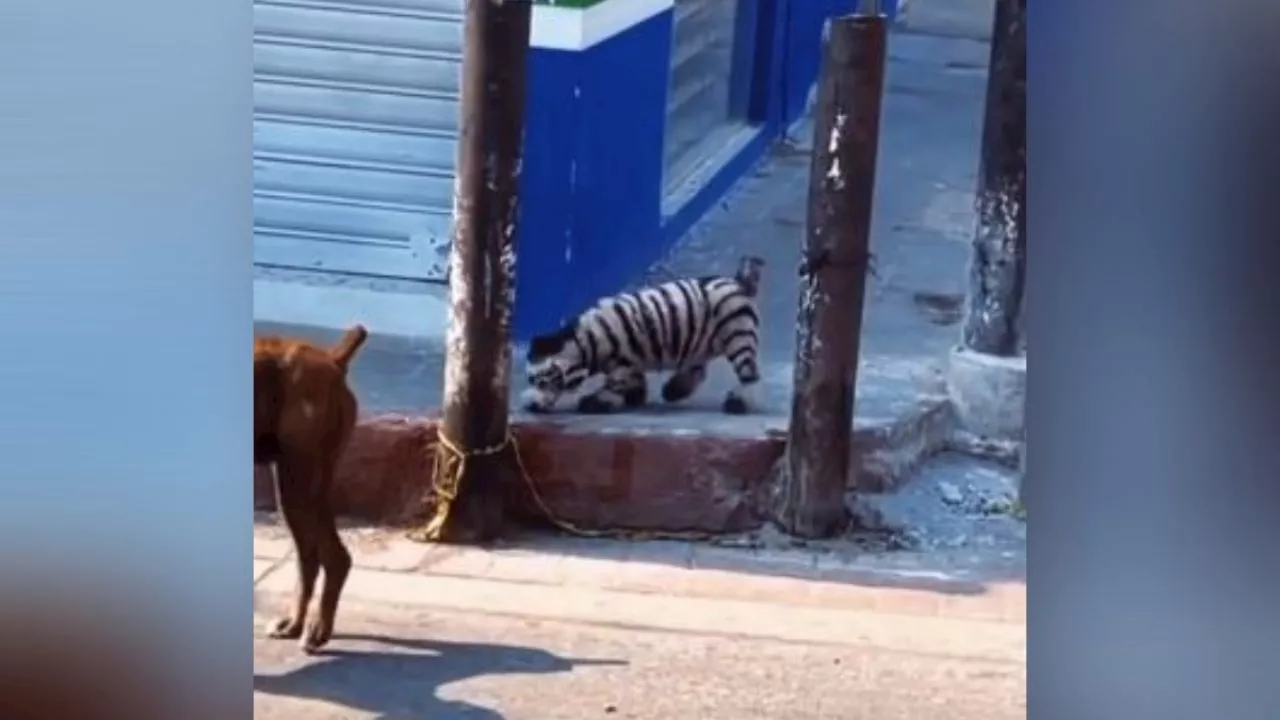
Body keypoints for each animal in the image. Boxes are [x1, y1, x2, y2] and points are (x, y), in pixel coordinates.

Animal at [252, 324, 366, 650]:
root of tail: (333, 360)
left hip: (298, 479)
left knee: (331, 557)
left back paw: (317, 628)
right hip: (302, 484)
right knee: (310, 557)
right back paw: (296, 623)